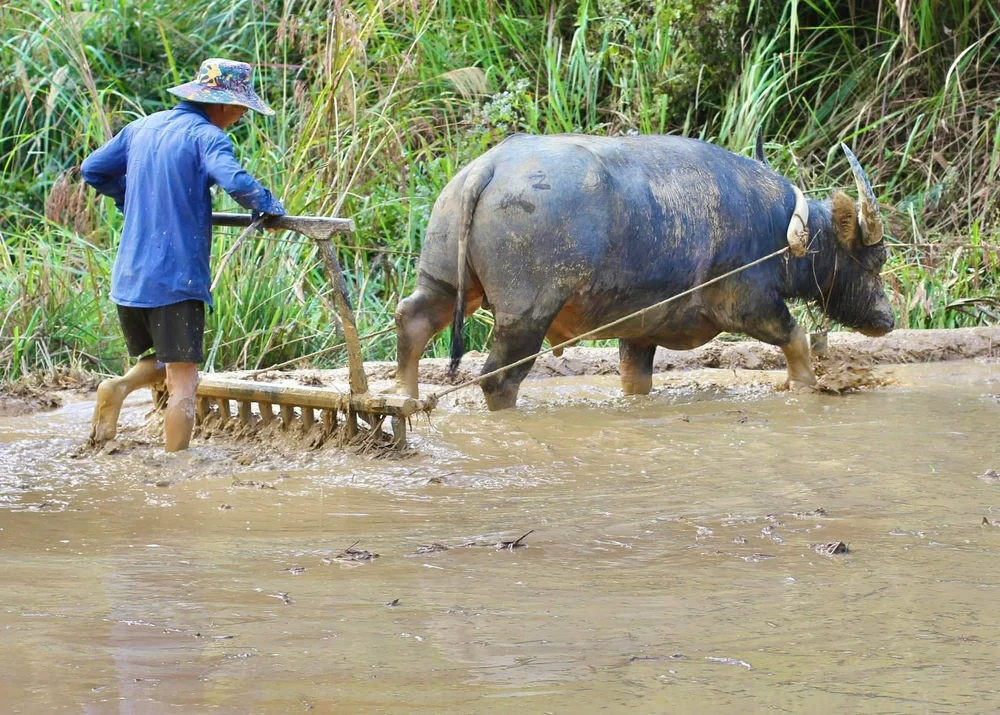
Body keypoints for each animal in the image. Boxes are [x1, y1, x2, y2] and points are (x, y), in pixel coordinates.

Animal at [395, 134, 893, 410]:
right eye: (876, 259)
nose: (886, 319)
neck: (786, 229)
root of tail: (490, 167)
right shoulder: (749, 305)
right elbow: (797, 339)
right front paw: (804, 386)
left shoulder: (639, 330)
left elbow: (635, 380)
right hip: (525, 314)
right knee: (499, 377)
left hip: (445, 280)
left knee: (413, 320)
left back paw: (404, 400)